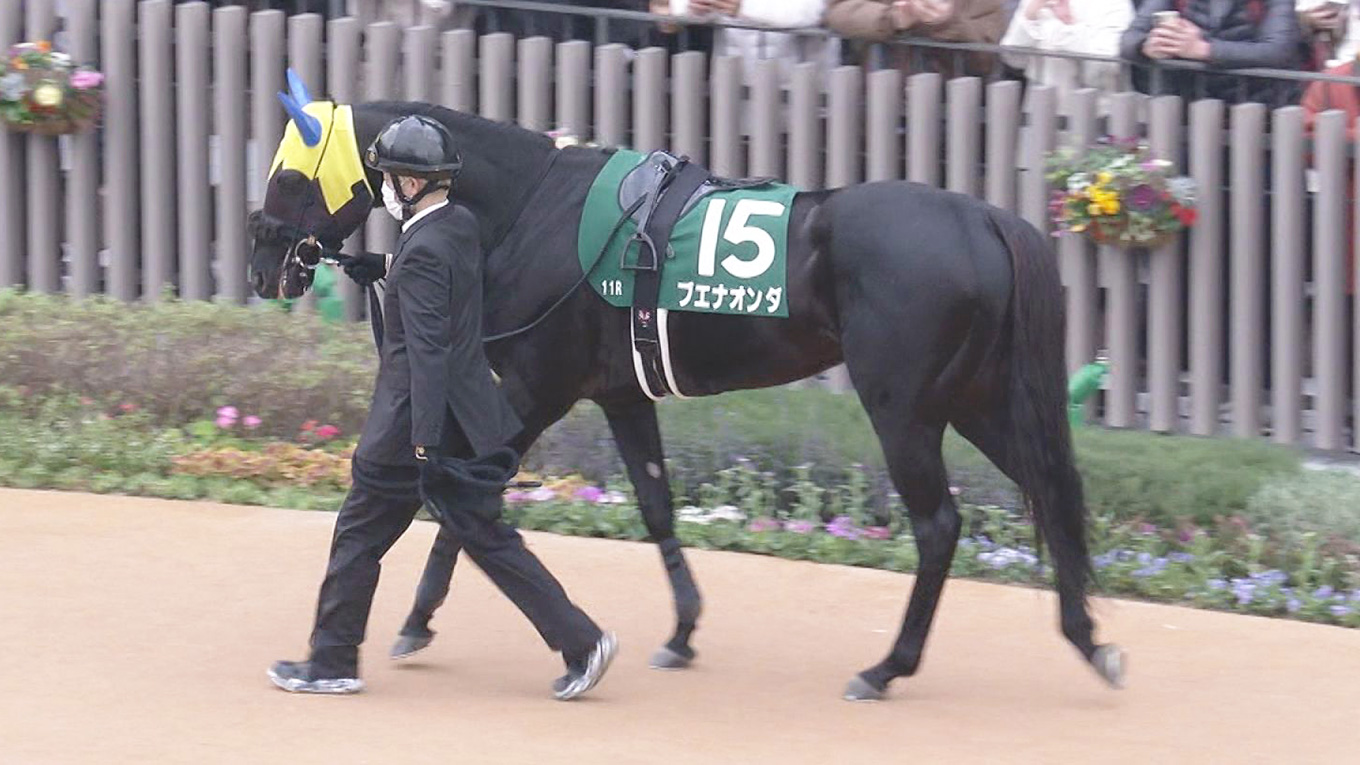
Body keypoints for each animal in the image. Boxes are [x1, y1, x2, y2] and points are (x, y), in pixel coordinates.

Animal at [247, 77, 1125, 701]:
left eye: (288, 174)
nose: (261, 264)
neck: (534, 201)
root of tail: (982, 217)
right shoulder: (619, 392)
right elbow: (656, 503)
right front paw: (682, 630)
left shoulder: (537, 385)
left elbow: (465, 499)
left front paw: (418, 619)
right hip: (977, 400)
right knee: (1053, 487)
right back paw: (1090, 641)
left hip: (904, 407)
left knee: (941, 524)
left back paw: (886, 668)